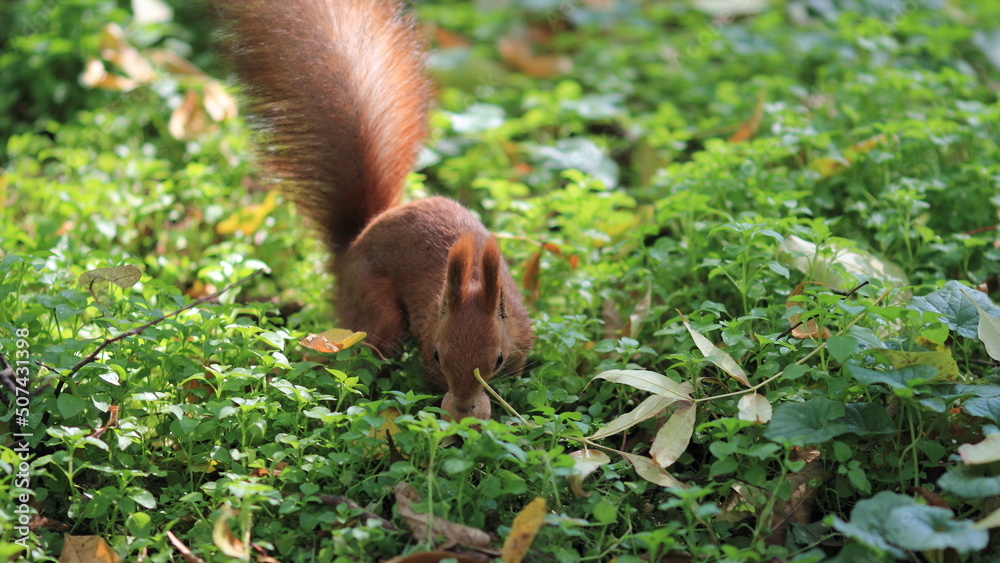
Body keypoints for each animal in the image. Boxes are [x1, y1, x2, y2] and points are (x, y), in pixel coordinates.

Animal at [215, 0, 534, 420]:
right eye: (436, 354)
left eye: (497, 359)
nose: (463, 407)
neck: (473, 282)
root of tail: (354, 242)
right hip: (373, 305)